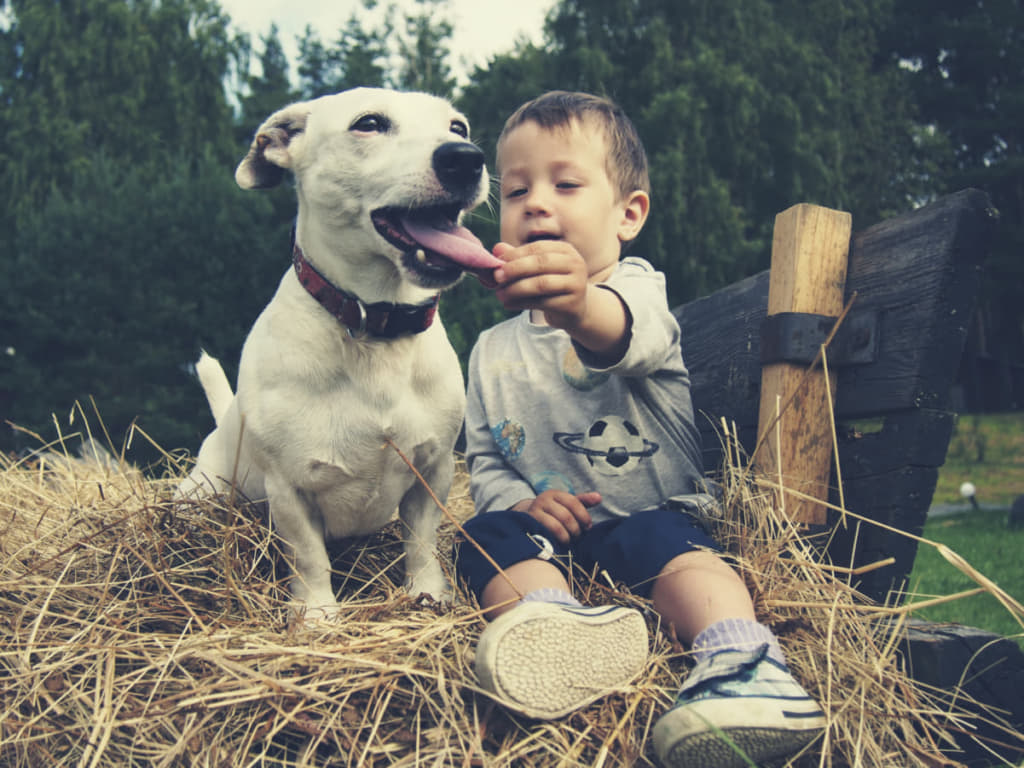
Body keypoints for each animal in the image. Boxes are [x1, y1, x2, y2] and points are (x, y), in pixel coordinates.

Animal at [175, 88, 499, 618]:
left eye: (458, 127)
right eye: (368, 123)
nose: (466, 158)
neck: (375, 325)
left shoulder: (432, 472)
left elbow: (421, 542)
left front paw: (428, 594)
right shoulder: (289, 488)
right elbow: (309, 558)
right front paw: (317, 616)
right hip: (202, 493)